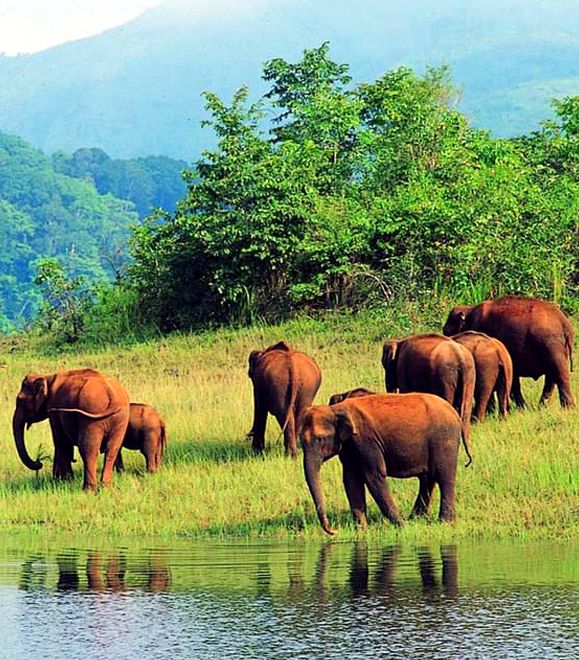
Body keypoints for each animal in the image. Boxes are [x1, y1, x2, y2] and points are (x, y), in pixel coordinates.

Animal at [300, 393, 472, 535]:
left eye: (320, 439)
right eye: (301, 441)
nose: (334, 531)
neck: (335, 409)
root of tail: (455, 414)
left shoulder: (365, 441)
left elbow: (374, 476)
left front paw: (402, 527)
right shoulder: (350, 447)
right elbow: (351, 480)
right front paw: (362, 531)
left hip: (444, 440)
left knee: (443, 477)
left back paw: (445, 523)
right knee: (428, 478)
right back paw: (415, 519)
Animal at [443, 295, 575, 408]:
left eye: (446, 331)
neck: (469, 309)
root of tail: (565, 324)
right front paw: (522, 408)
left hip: (551, 345)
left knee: (559, 373)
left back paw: (568, 408)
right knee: (551, 376)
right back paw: (542, 406)